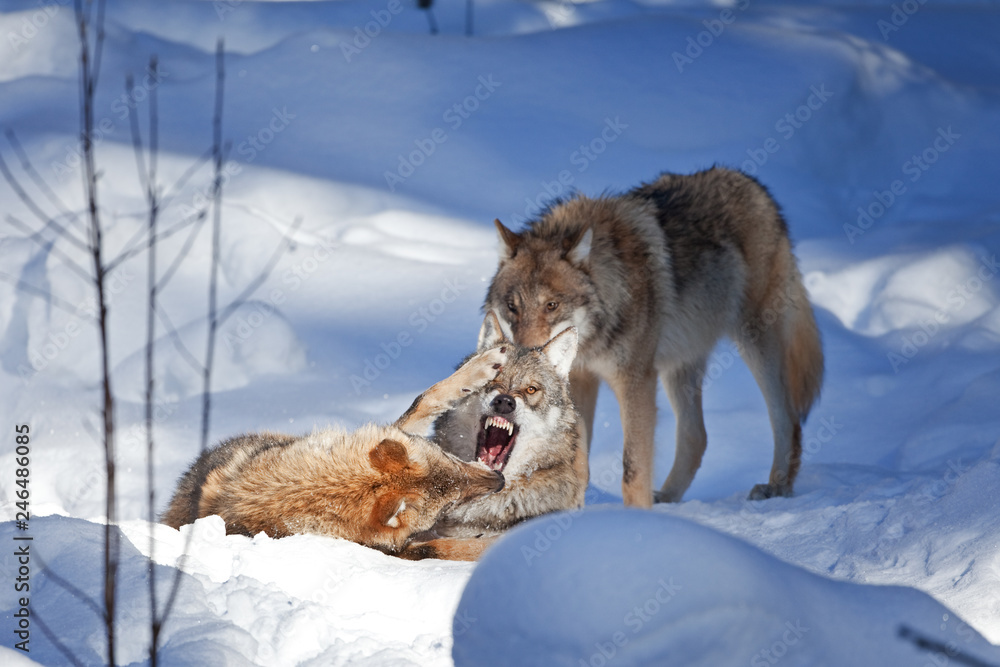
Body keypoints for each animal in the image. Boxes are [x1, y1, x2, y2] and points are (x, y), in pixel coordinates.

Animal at [161, 342, 509, 561]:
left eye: (450, 459)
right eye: (450, 503)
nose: (500, 481)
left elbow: (426, 397)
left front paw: (485, 364)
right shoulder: (399, 549)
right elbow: (444, 549)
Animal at [484, 166, 824, 506]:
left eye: (551, 306)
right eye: (512, 307)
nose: (524, 359)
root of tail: (754, 185)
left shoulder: (637, 381)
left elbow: (632, 469)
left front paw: (637, 517)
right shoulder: (579, 380)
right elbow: (577, 464)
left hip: (755, 342)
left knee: (788, 419)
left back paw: (776, 487)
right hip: (681, 364)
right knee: (697, 436)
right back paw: (668, 498)